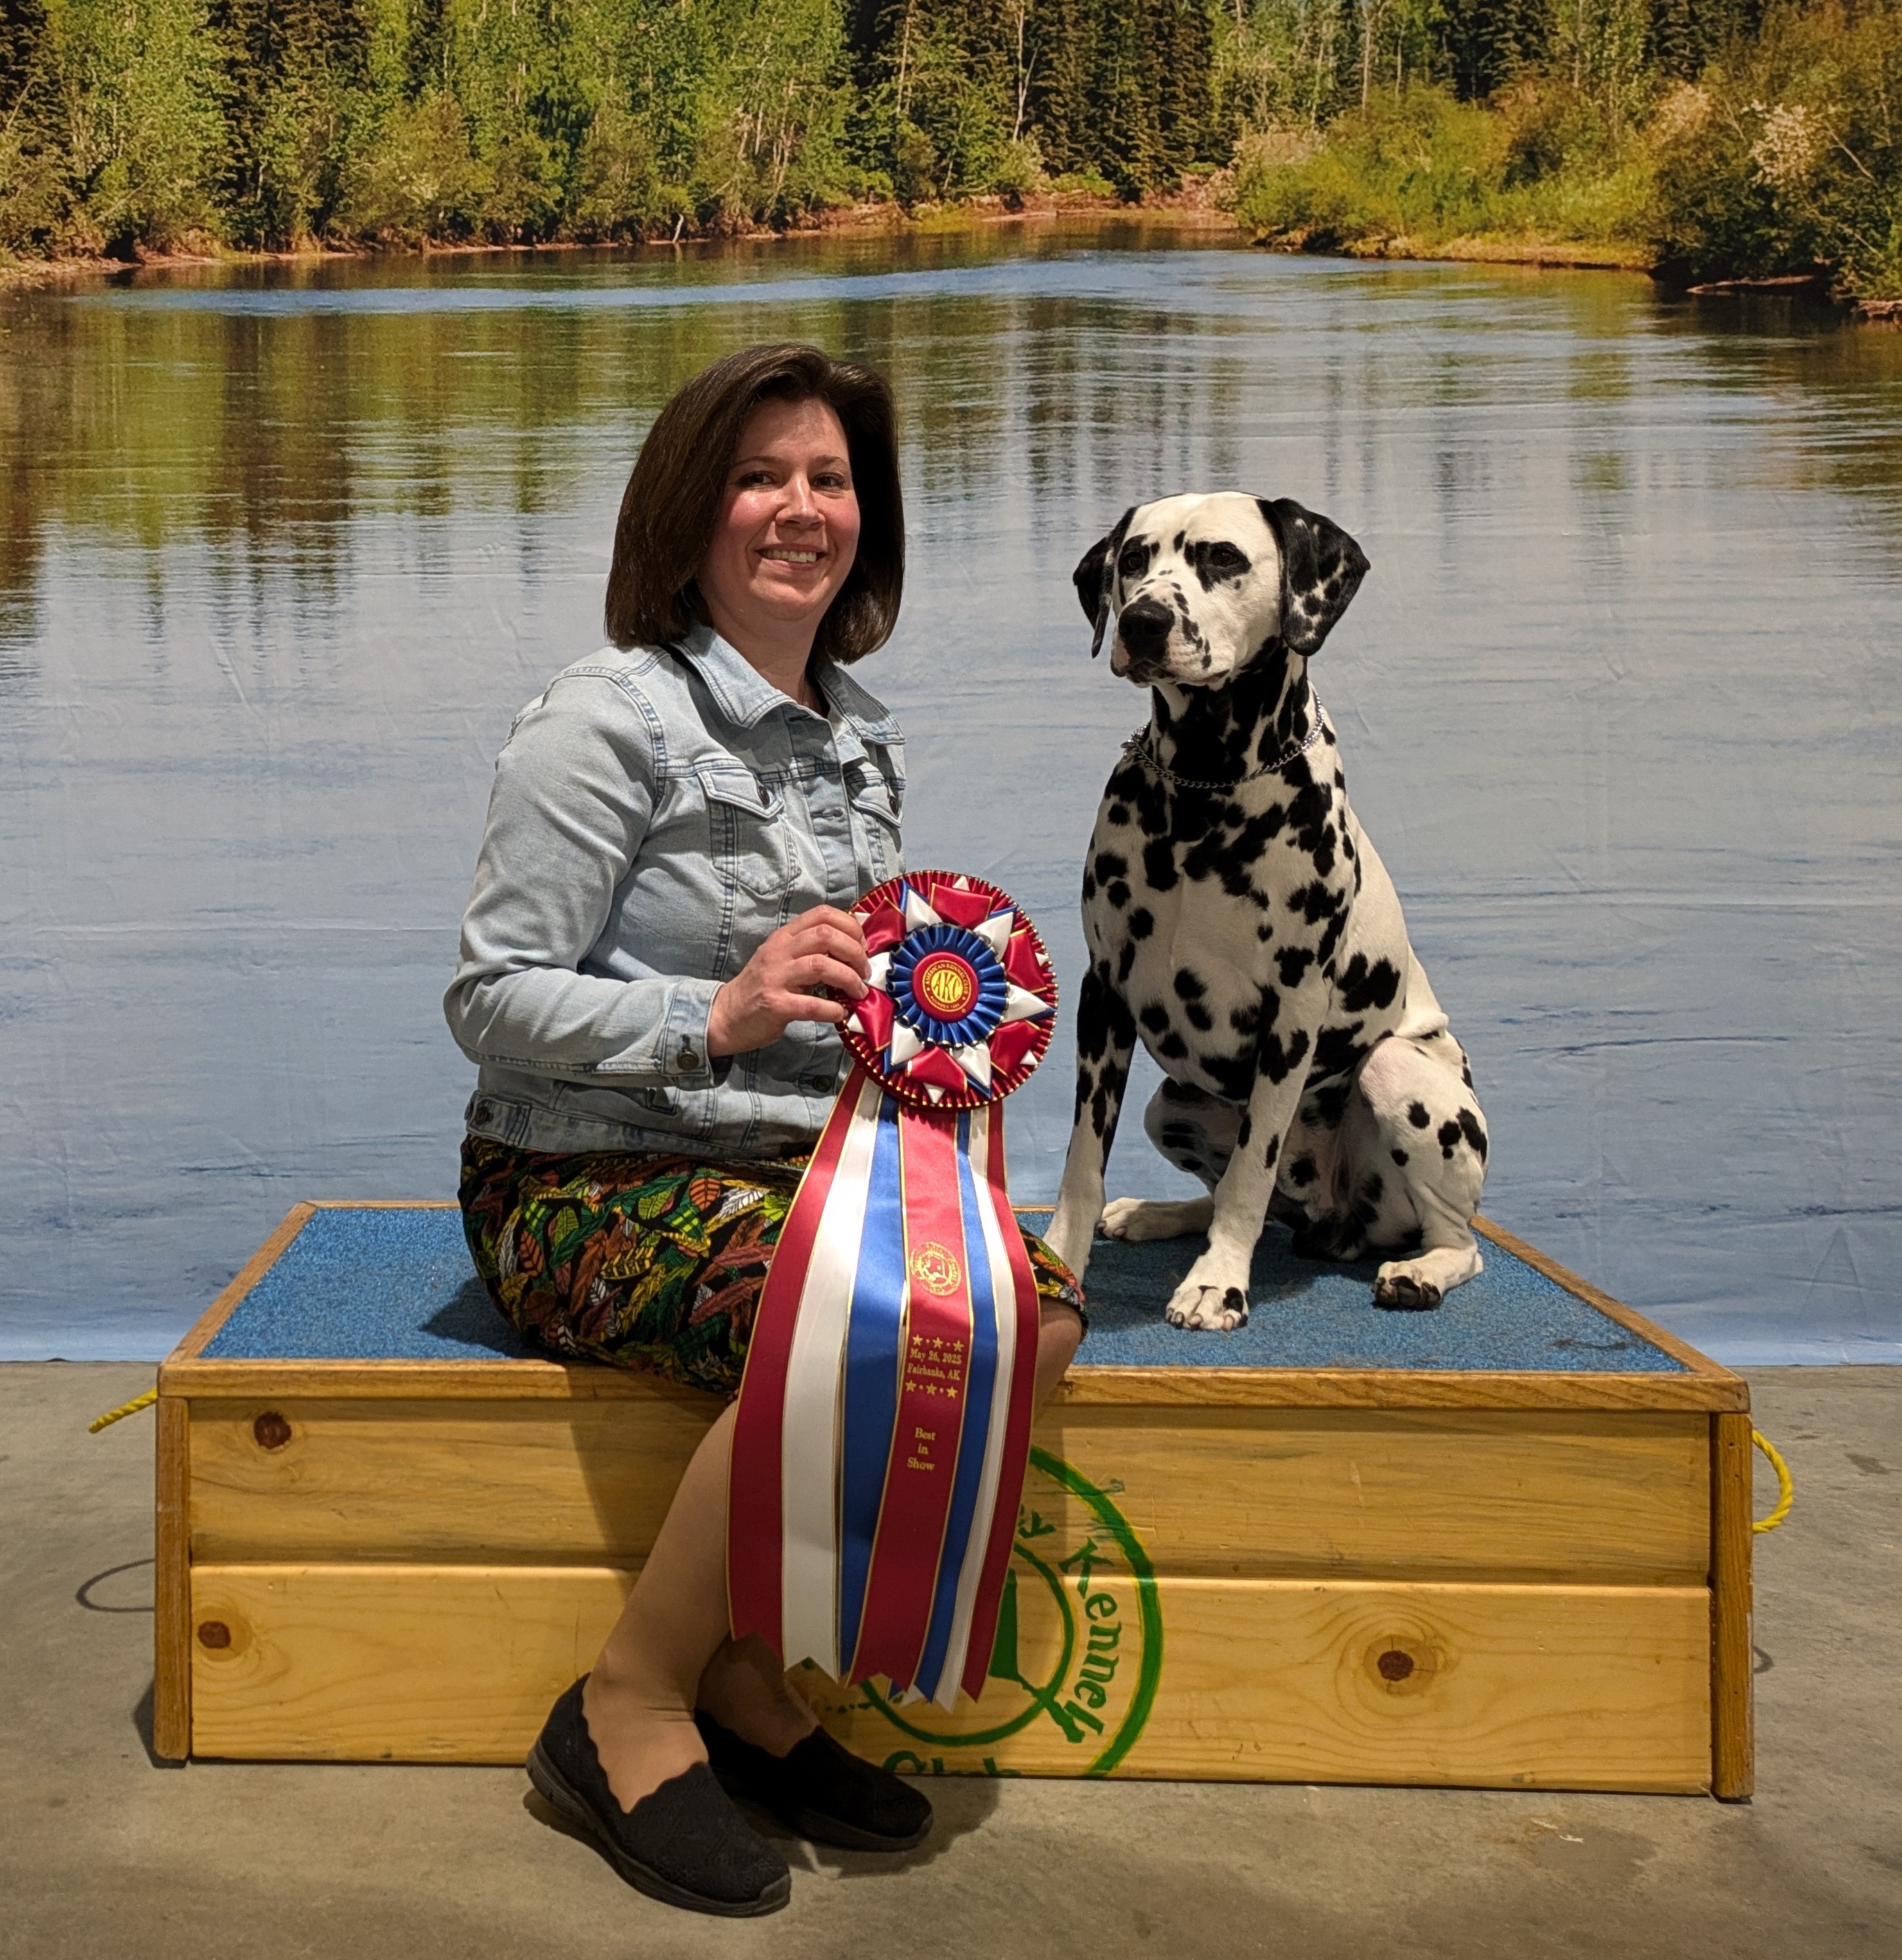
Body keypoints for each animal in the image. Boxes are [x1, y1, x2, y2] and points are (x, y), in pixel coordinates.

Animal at [1043, 493, 1488, 1330]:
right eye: (1134, 559)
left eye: (1223, 557)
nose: (1143, 620)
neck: (1204, 792)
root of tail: (1337, 1221)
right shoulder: (1104, 994)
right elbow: (1084, 1160)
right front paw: (1057, 1260)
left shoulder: (1292, 1013)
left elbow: (1252, 1168)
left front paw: (1217, 1283)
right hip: (1170, 1105)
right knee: (1237, 1197)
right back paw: (1157, 1213)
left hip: (1398, 1078)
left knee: (1460, 1240)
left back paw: (1420, 1271)